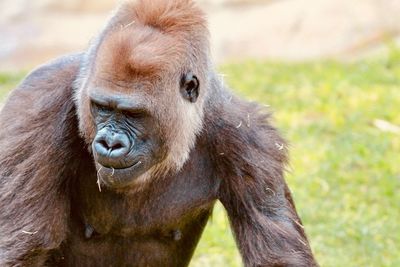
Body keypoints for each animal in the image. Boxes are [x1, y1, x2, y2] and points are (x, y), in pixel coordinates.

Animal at [0, 0, 318, 267]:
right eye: (102, 108)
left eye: (135, 115)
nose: (110, 143)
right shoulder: (35, 108)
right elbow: (21, 245)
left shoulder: (250, 139)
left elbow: (277, 256)